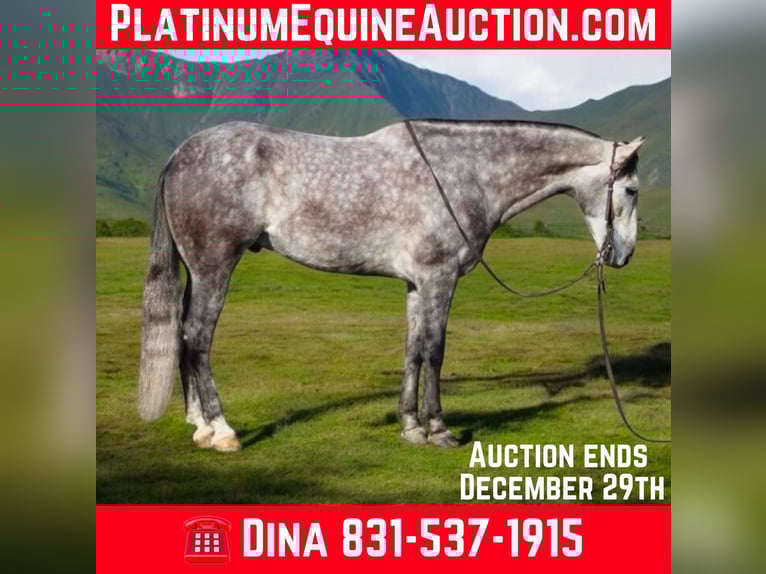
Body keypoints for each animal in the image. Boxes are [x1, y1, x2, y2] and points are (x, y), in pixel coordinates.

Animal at [138, 119, 646, 452]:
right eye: (633, 189)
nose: (623, 256)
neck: (465, 172)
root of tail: (179, 155)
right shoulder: (439, 277)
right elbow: (436, 350)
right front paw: (439, 430)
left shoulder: (417, 283)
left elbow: (412, 349)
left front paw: (410, 426)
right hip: (214, 267)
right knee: (198, 337)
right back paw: (222, 431)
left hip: (196, 271)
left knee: (183, 335)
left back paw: (198, 424)